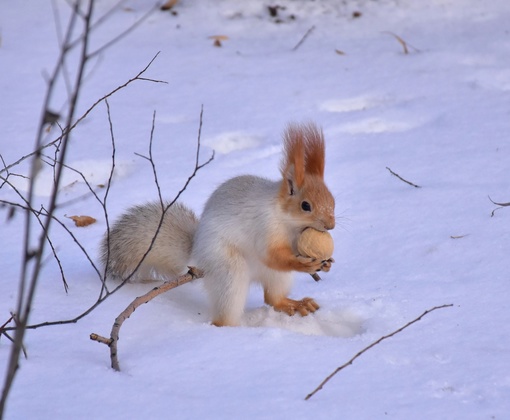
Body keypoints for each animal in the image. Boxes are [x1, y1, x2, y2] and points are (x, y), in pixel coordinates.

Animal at [99, 123, 334, 326]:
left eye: (332, 200)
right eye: (305, 206)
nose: (330, 225)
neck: (288, 222)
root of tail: (195, 252)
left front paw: (327, 263)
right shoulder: (265, 227)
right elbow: (272, 255)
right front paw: (303, 264)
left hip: (277, 277)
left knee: (273, 298)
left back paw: (294, 304)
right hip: (229, 270)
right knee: (226, 313)